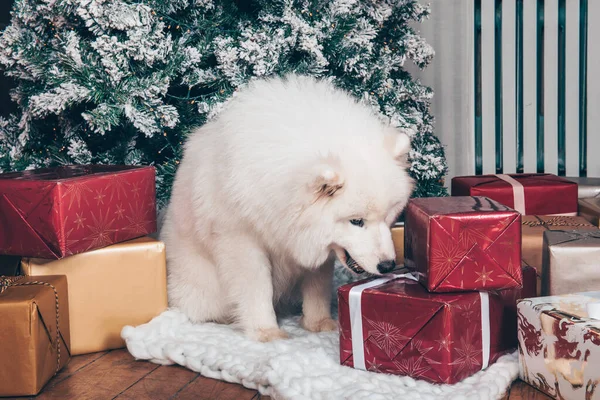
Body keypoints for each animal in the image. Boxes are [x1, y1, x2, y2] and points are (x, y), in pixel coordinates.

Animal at [159, 76, 414, 344]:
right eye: (356, 221)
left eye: (388, 217)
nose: (388, 265)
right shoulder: (242, 240)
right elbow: (257, 288)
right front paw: (266, 332)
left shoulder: (312, 244)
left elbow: (317, 287)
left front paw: (319, 323)